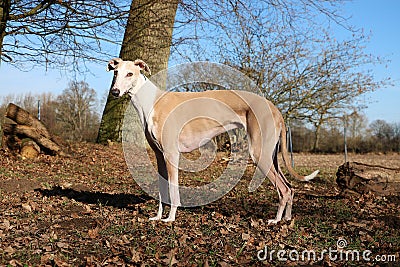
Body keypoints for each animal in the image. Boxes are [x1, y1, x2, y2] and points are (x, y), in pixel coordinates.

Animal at [106, 58, 318, 224]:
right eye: (115, 73)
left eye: (130, 74)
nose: (115, 92)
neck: (152, 102)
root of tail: (275, 109)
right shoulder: (160, 156)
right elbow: (161, 190)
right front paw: (158, 216)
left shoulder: (171, 155)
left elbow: (173, 190)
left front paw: (171, 218)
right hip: (271, 155)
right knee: (289, 188)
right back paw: (287, 218)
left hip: (259, 154)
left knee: (284, 189)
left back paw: (276, 220)